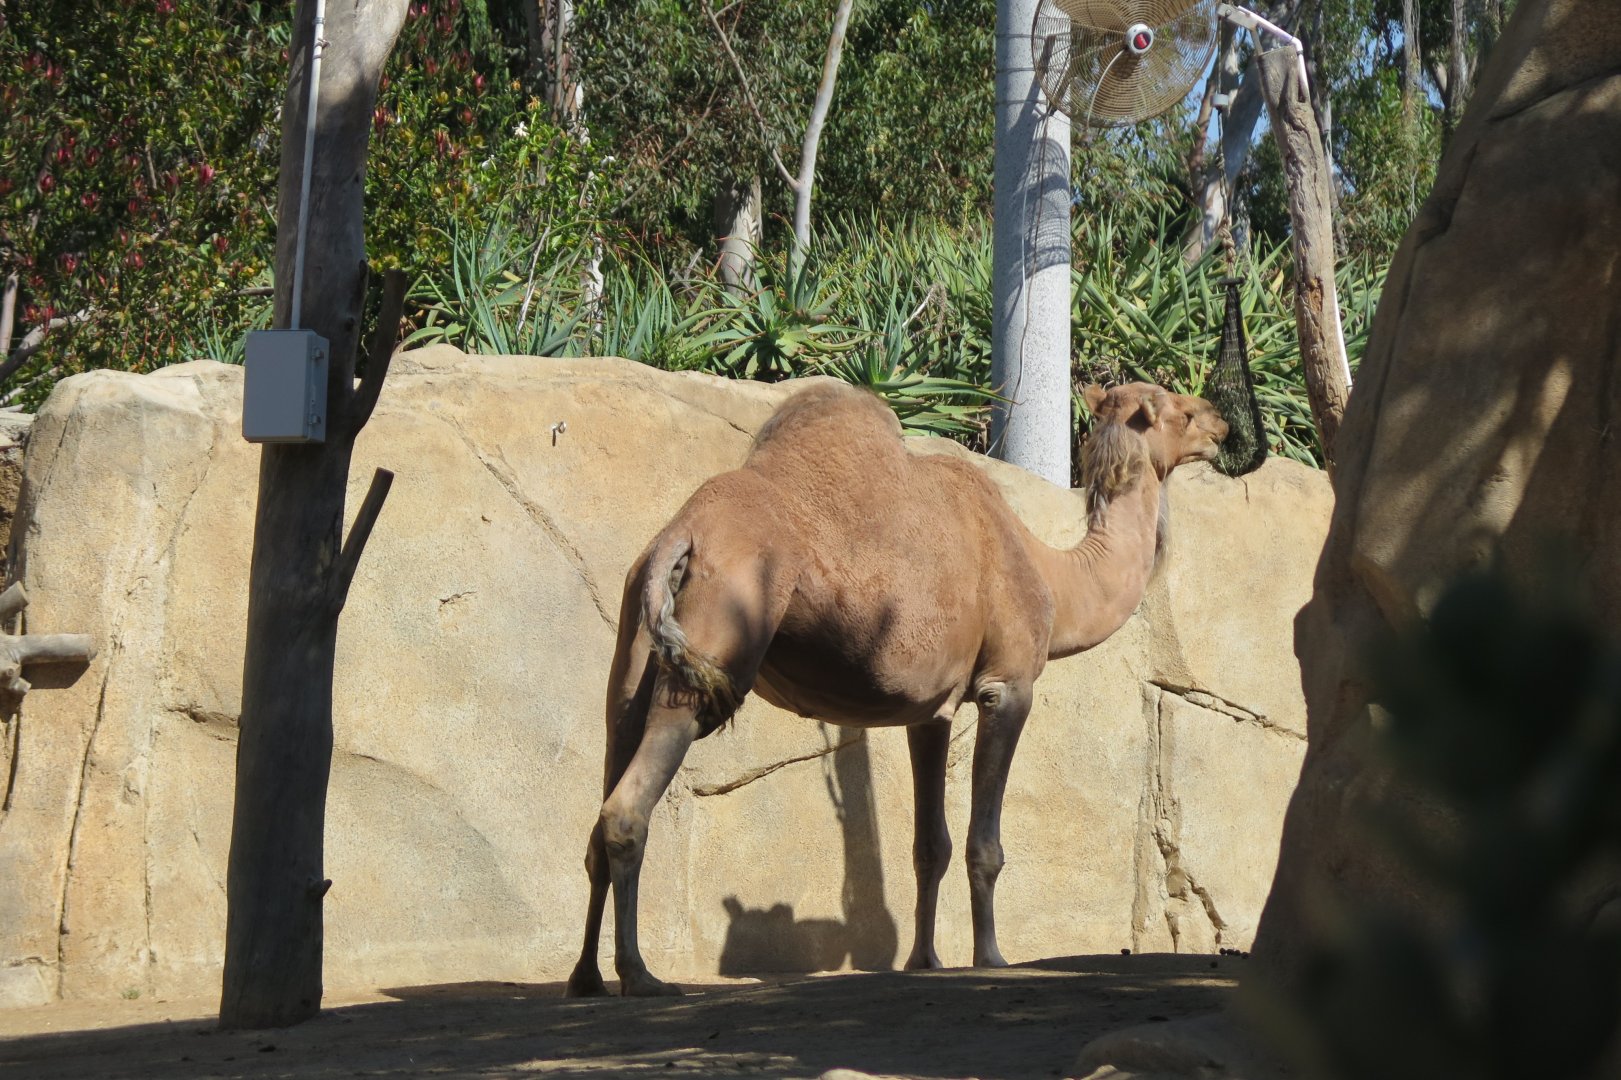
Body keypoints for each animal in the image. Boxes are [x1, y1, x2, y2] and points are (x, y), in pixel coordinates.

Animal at [566, 380, 1229, 997]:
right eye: (1179, 411)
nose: (1220, 424)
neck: (1052, 578)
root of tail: (680, 536)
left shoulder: (929, 713)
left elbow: (928, 845)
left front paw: (924, 959)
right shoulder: (1007, 686)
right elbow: (984, 843)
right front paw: (990, 957)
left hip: (633, 645)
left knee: (605, 791)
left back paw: (585, 978)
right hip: (720, 636)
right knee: (627, 809)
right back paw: (641, 976)